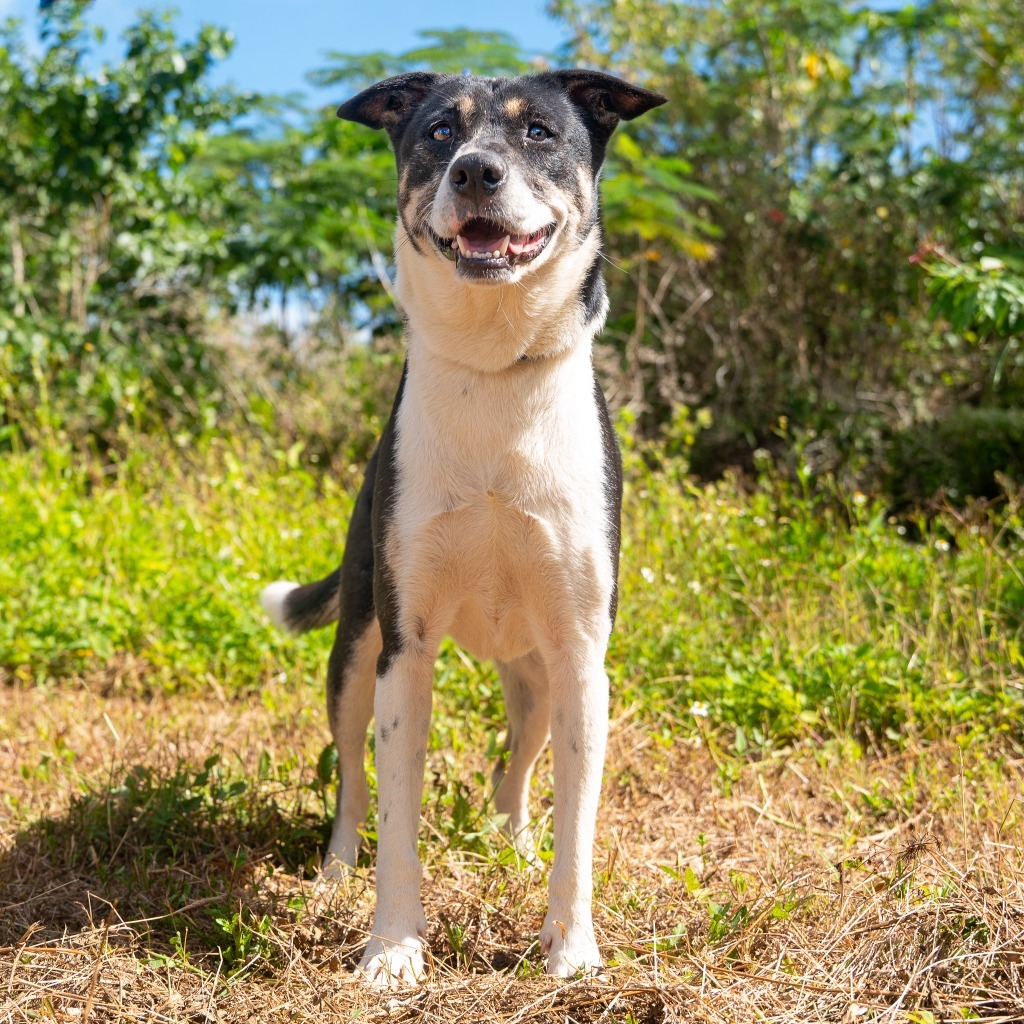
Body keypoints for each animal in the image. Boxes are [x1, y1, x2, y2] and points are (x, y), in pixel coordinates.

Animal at [260, 70, 667, 983]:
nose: (477, 171)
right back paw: (335, 871)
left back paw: (511, 847)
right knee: (351, 780)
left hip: (540, 675)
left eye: (541, 131)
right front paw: (392, 950)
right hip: (356, 649)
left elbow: (576, 824)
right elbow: (396, 816)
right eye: (441, 130)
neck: (493, 368)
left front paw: (571, 948)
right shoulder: (405, 649)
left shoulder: (582, 655)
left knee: (517, 768)